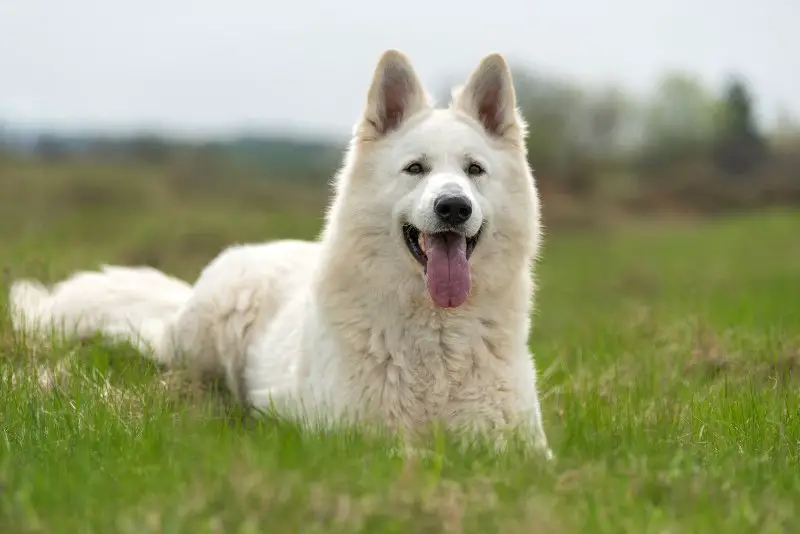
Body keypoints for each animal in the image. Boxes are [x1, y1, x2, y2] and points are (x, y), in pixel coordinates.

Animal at [9, 51, 552, 460]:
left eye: (474, 170)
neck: (437, 337)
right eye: (415, 168)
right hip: (204, 344)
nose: (454, 207)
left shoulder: (524, 451)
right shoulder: (358, 439)